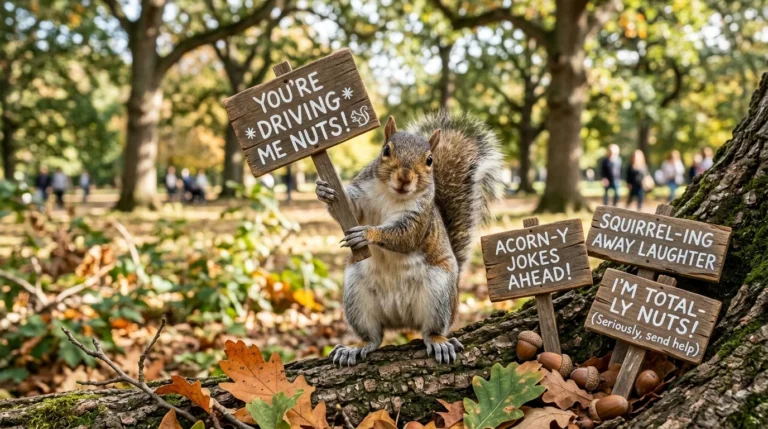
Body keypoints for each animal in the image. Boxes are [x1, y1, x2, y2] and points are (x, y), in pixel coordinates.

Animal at [316, 111, 502, 366]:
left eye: (430, 160)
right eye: (386, 150)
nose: (404, 177)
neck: (392, 195)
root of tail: (401, 319)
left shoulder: (418, 218)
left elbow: (404, 237)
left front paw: (367, 233)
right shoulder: (361, 196)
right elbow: (348, 207)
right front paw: (325, 190)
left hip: (439, 293)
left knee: (431, 330)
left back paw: (439, 342)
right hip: (356, 297)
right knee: (373, 337)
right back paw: (355, 348)